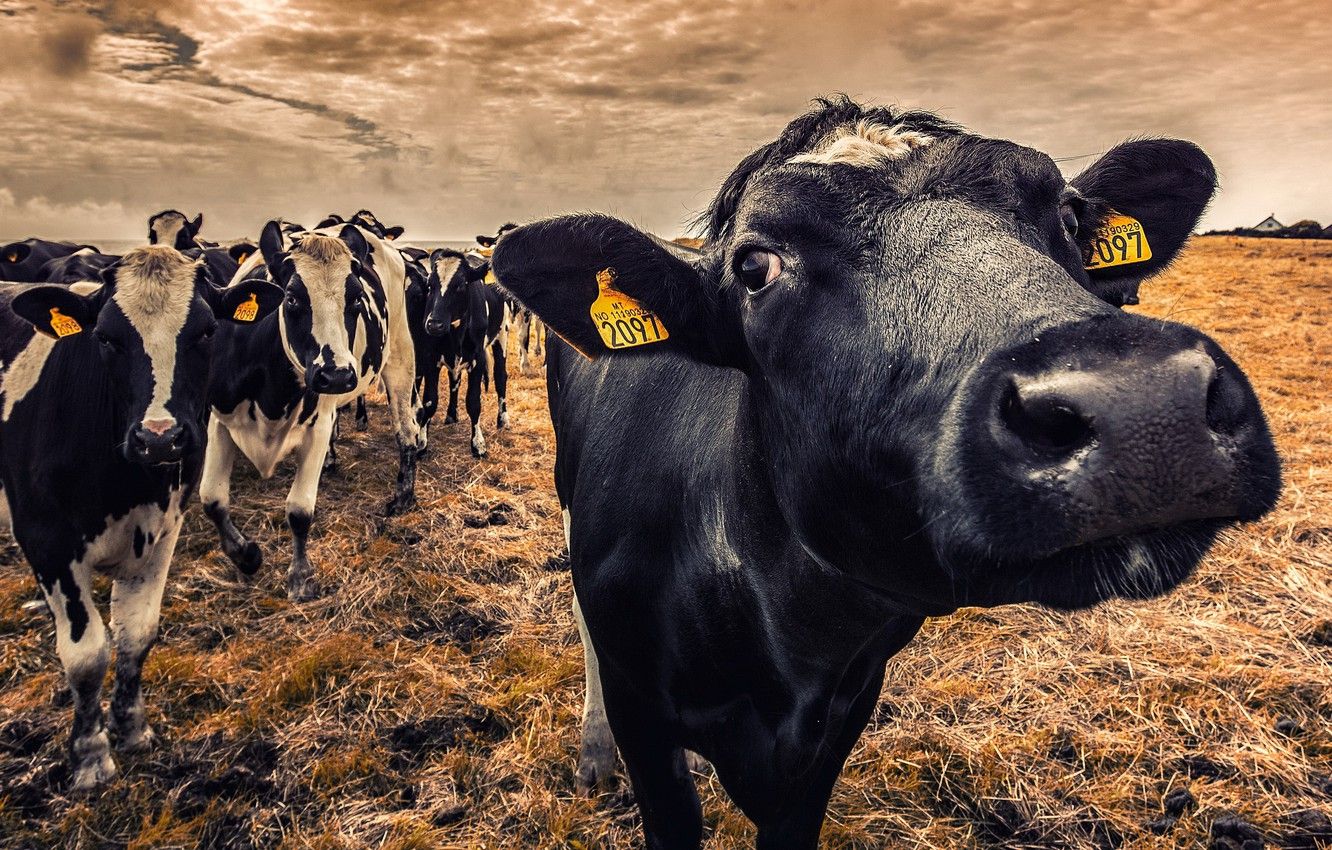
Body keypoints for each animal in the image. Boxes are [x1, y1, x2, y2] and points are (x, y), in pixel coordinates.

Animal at [0, 246, 275, 790]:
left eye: (206, 331)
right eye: (106, 337)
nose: (160, 438)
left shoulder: (162, 531)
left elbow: (136, 635)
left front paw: (131, 729)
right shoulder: (47, 542)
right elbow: (86, 655)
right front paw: (89, 758)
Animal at [199, 220, 422, 601]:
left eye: (356, 299)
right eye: (291, 298)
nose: (337, 374)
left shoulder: (317, 426)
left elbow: (300, 510)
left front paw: (300, 577)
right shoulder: (219, 418)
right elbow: (212, 499)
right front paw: (246, 556)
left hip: (401, 355)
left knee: (406, 431)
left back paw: (402, 496)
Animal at [421, 248, 508, 458]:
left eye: (460, 286)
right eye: (430, 285)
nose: (434, 324)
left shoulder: (477, 360)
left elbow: (473, 403)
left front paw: (478, 444)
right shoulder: (431, 358)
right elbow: (429, 401)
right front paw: (421, 441)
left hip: (502, 333)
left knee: (501, 377)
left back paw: (503, 419)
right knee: (455, 379)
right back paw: (452, 414)